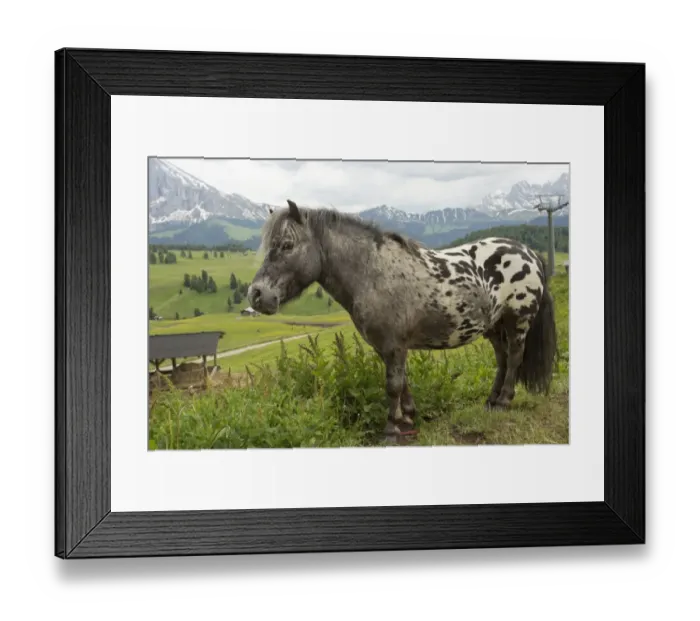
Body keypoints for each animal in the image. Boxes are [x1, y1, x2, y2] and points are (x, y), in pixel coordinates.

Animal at [248, 199, 557, 443]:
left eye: (287, 245)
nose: (256, 294)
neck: (373, 273)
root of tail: (528, 252)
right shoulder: (389, 346)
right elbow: (402, 381)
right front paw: (407, 419)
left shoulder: (394, 344)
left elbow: (393, 385)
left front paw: (391, 430)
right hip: (494, 327)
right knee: (502, 359)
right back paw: (491, 402)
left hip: (518, 321)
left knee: (514, 358)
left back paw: (504, 401)